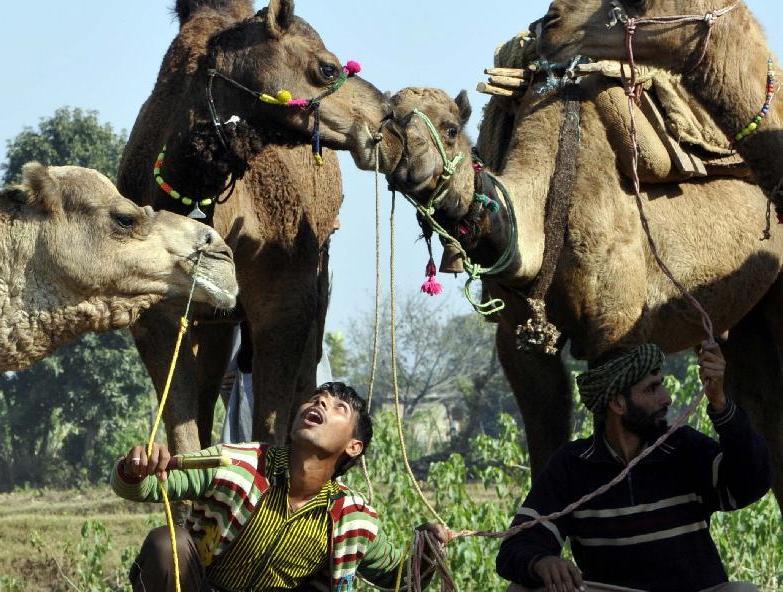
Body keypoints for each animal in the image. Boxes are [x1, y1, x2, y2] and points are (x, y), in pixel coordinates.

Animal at [118, 0, 392, 454]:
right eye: (327, 68)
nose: (386, 118)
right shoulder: (155, 316)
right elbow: (185, 438)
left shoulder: (286, 302)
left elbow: (272, 429)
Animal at [382, 77, 783, 508]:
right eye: (391, 125)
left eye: (451, 128)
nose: (411, 168)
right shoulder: (518, 341)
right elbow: (546, 446)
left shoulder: (618, 324)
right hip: (744, 317)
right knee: (761, 399)